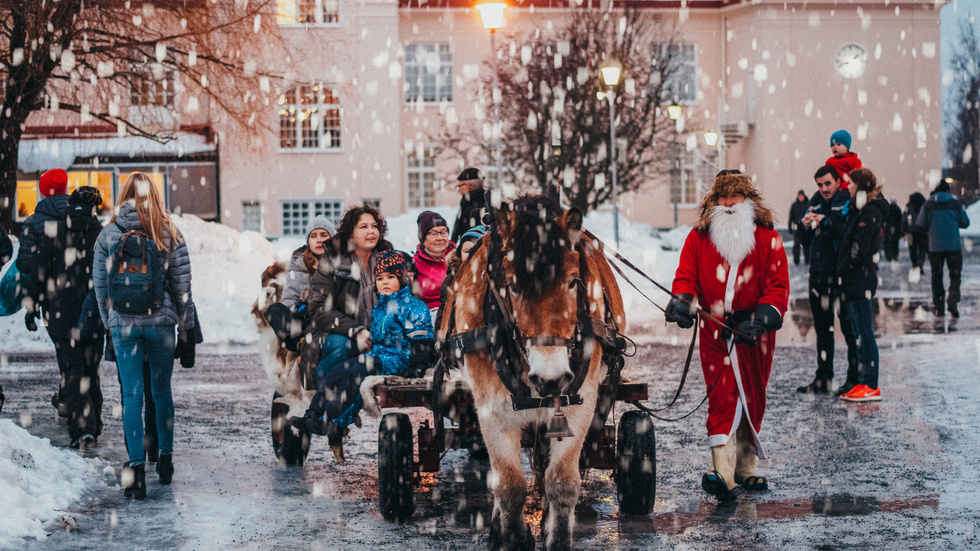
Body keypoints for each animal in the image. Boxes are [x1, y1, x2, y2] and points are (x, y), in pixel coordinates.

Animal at [438, 196, 624, 548]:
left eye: (573, 281)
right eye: (511, 285)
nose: (550, 378)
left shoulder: (579, 404)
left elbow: (562, 482)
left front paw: (556, 536)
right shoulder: (491, 410)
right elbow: (508, 486)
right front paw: (512, 536)